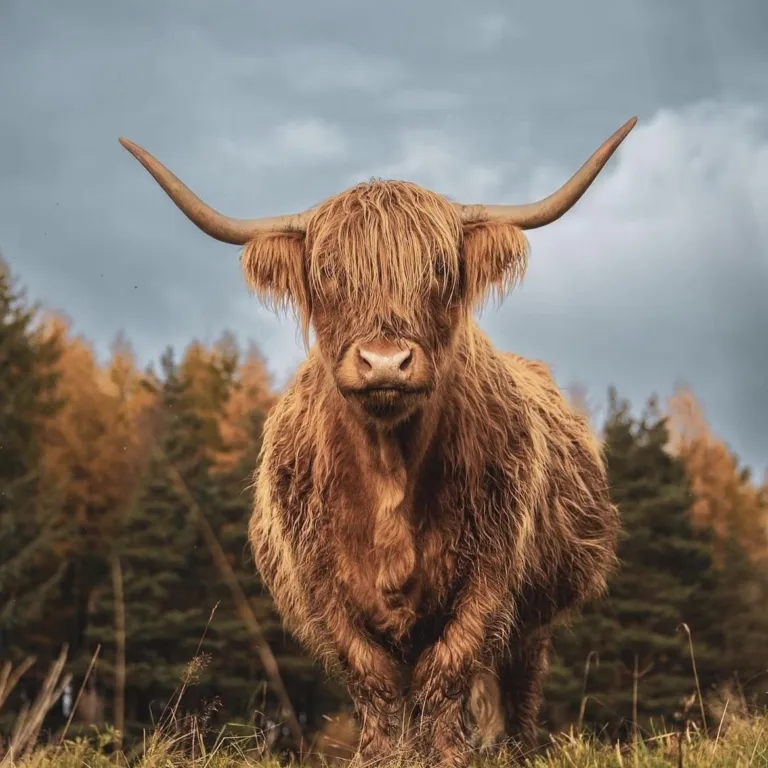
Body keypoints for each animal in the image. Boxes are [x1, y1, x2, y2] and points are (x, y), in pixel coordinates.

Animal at [119, 117, 634, 766]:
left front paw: (449, 755)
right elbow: (372, 679)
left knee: (518, 682)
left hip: (535, 613)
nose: (385, 362)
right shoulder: (321, 585)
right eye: (329, 273)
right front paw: (381, 755)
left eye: (438, 270)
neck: (390, 466)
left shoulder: (492, 573)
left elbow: (450, 666)